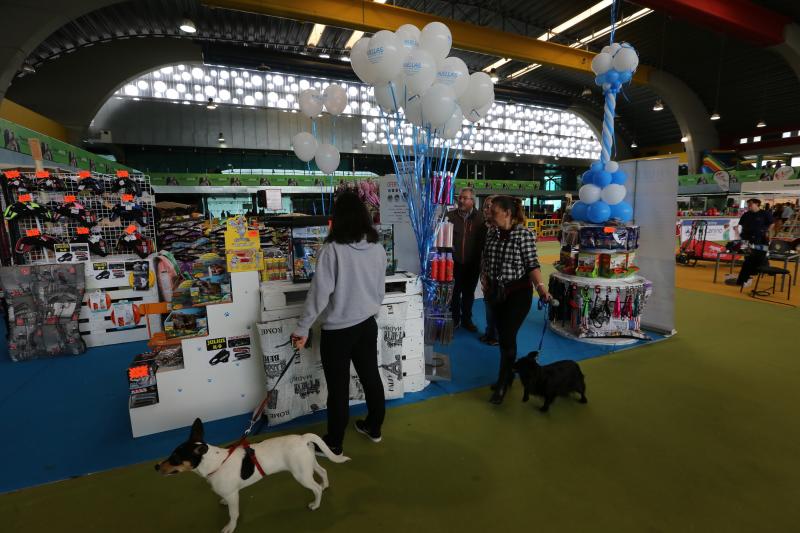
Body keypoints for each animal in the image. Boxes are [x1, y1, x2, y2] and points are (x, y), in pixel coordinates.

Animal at [156, 420, 346, 532]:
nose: (156, 466)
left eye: (175, 459)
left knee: (316, 489)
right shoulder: (230, 494)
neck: (216, 463)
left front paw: (230, 527)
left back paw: (316, 504)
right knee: (323, 472)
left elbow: (233, 514)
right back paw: (325, 485)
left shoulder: (234, 496)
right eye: (171, 455)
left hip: (301, 475)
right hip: (308, 465)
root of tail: (302, 438)